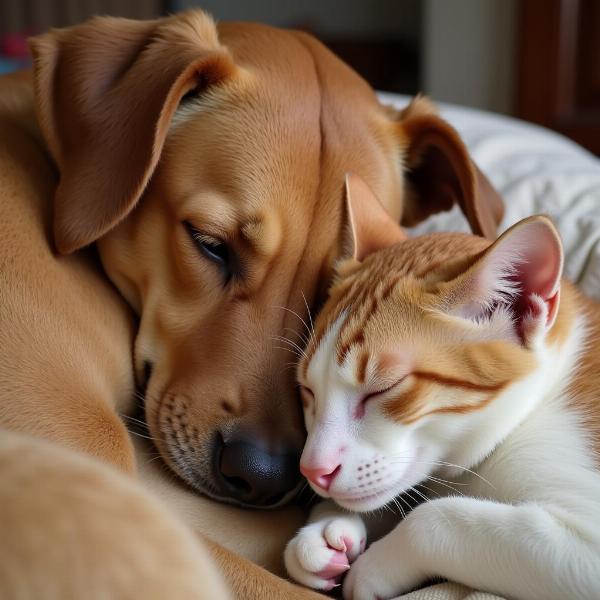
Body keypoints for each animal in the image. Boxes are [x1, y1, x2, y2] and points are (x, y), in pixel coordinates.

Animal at [284, 175, 600, 600]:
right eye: (308, 390)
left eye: (383, 388)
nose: (313, 470)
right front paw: (324, 529)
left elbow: (436, 515)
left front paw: (376, 566)